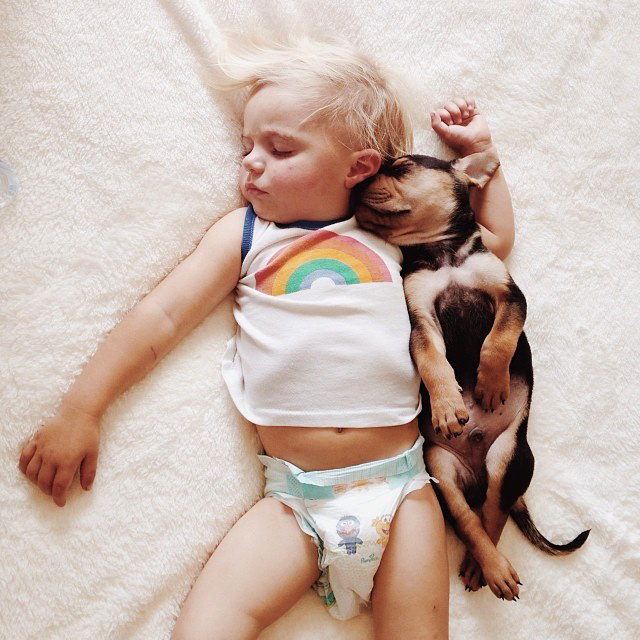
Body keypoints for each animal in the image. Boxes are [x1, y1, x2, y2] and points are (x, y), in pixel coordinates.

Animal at [354, 147, 589, 601]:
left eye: (402, 167)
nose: (354, 187)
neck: (445, 254)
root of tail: (480, 474)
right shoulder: (420, 319)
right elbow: (434, 362)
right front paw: (448, 407)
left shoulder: (510, 296)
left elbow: (499, 340)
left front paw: (491, 384)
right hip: (441, 468)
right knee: (470, 520)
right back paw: (488, 566)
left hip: (509, 456)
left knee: (494, 514)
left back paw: (487, 567)